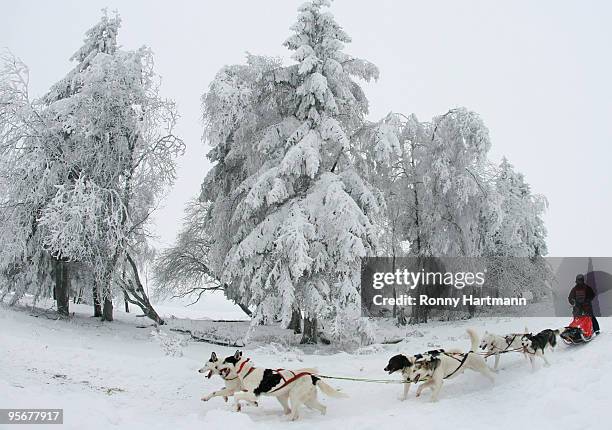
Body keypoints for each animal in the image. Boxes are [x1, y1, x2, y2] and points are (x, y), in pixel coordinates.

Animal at [218, 350, 346, 420]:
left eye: (224, 361)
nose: (216, 367)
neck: (248, 371)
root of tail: (313, 377)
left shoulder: (254, 394)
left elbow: (236, 396)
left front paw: (237, 407)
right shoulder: (248, 393)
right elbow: (242, 397)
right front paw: (248, 405)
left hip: (295, 396)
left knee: (294, 413)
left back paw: (287, 420)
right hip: (304, 400)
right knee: (321, 408)